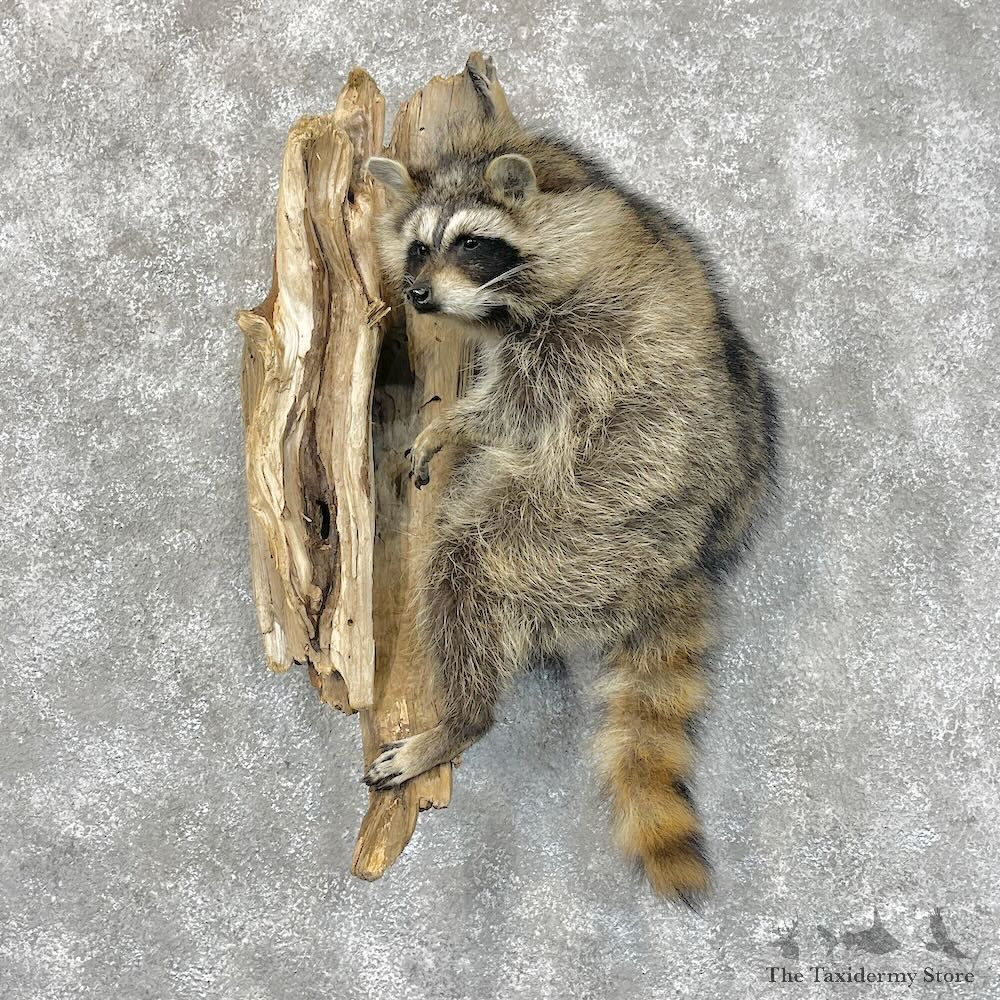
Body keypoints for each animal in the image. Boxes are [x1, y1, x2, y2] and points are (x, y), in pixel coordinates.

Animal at [362, 90, 778, 901]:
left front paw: (456, 424)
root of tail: (682, 563)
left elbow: (517, 409)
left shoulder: (585, 338)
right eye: (419, 248)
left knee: (467, 563)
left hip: (587, 520)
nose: (418, 295)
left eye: (471, 243)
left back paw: (461, 718)